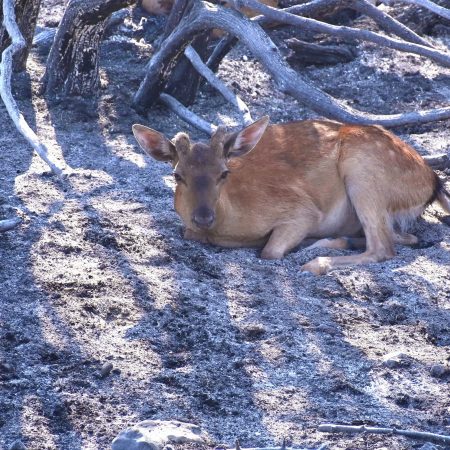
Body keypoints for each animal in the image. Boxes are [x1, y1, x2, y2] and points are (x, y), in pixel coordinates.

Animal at [133, 116, 450, 276]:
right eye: (177, 175)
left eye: (224, 173)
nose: (203, 216)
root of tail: (433, 180)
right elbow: (188, 233)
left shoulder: (301, 210)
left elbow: (269, 251)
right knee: (405, 237)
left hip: (363, 171)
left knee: (384, 246)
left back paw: (315, 261)